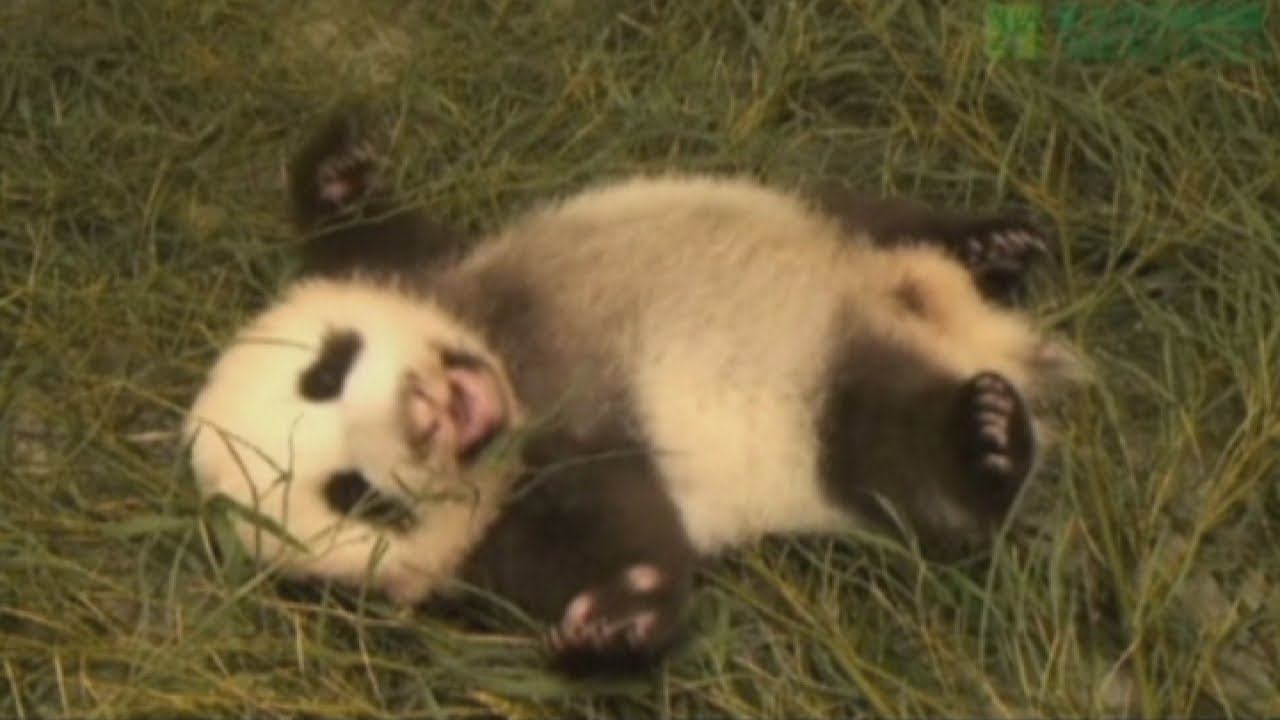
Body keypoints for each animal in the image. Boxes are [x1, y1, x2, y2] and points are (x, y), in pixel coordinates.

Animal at [183, 112, 1087, 674]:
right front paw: (615, 623)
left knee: (888, 219)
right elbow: (630, 532)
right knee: (902, 462)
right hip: (832, 425)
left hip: (822, 220)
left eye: (328, 371)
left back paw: (997, 245)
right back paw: (986, 437)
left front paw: (336, 170)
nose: (428, 412)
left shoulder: (441, 268)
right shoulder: (516, 520)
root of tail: (972, 335)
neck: (520, 384)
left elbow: (371, 234)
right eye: (356, 497)